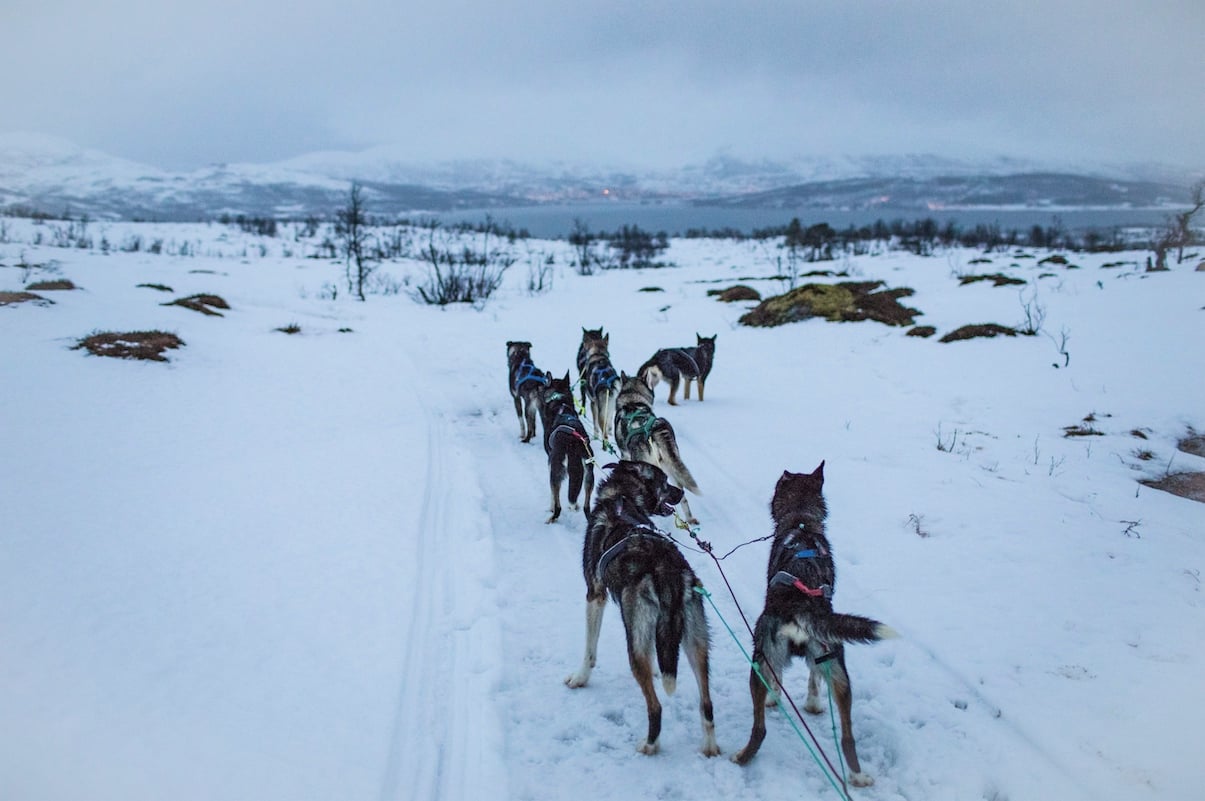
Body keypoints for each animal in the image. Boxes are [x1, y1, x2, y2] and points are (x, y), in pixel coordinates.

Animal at [539, 370, 595, 522]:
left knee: (558, 506)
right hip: (589, 475)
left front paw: (550, 507)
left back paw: (552, 518)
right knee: (586, 507)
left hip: (556, 472)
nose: (540, 386)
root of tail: (573, 442)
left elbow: (553, 497)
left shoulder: (549, 462)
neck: (560, 402)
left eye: (545, 383)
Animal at [563, 455, 713, 756]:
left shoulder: (595, 595)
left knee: (655, 706)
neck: (622, 499)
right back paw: (710, 747)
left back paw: (650, 744)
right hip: (696, 644)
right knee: (707, 703)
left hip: (634, 642)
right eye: (665, 482)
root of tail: (668, 572)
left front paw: (580, 677)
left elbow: (589, 650)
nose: (679, 492)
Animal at [612, 375, 698, 525]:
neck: (633, 399)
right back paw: (689, 518)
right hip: (671, 468)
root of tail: (654, 429)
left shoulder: (625, 455)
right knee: (682, 496)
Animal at [723, 460, 896, 785]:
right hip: (840, 673)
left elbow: (778, 679)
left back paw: (741, 757)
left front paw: (775, 698)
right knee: (847, 737)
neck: (802, 524)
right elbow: (813, 678)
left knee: (759, 729)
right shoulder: (819, 659)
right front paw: (813, 704)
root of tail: (801, 605)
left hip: (758, 659)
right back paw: (857, 776)